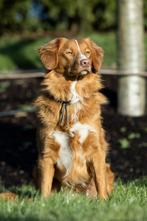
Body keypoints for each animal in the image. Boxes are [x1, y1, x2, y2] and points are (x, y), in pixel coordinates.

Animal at [34, 37, 114, 199]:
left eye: (87, 52)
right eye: (69, 52)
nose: (85, 62)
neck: (71, 100)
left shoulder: (96, 150)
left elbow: (100, 182)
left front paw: (103, 201)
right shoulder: (46, 153)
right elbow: (45, 185)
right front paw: (43, 202)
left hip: (107, 168)